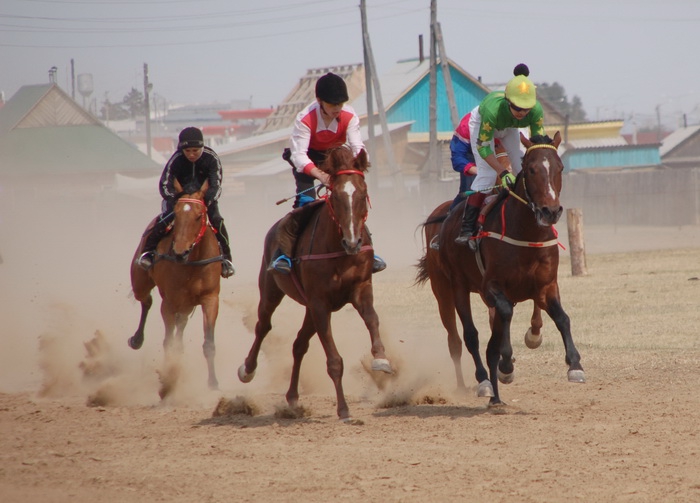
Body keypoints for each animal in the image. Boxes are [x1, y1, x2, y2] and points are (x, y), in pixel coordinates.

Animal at [128, 179, 221, 396]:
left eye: (199, 216)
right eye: (176, 215)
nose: (180, 252)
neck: (191, 262)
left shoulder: (210, 299)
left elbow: (209, 343)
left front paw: (213, 382)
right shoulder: (169, 303)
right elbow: (168, 343)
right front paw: (167, 382)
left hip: (186, 305)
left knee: (181, 323)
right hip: (140, 284)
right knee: (146, 301)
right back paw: (136, 339)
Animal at [238, 148, 394, 424]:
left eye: (362, 192)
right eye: (336, 194)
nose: (353, 242)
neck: (340, 252)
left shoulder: (360, 288)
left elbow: (372, 319)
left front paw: (381, 359)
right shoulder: (320, 303)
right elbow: (334, 361)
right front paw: (343, 410)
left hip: (309, 307)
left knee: (299, 344)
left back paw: (292, 397)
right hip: (271, 290)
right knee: (263, 325)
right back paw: (247, 369)